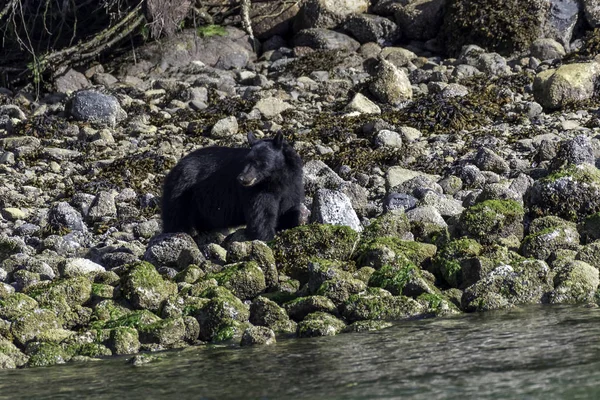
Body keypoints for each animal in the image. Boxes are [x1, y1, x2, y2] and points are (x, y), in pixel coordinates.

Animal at [161, 133, 304, 242]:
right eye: (246, 160)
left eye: (258, 162)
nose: (242, 178)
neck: (277, 179)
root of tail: (174, 168)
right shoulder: (257, 190)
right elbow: (262, 213)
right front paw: (266, 237)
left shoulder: (293, 184)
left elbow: (288, 207)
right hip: (181, 193)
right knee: (175, 218)